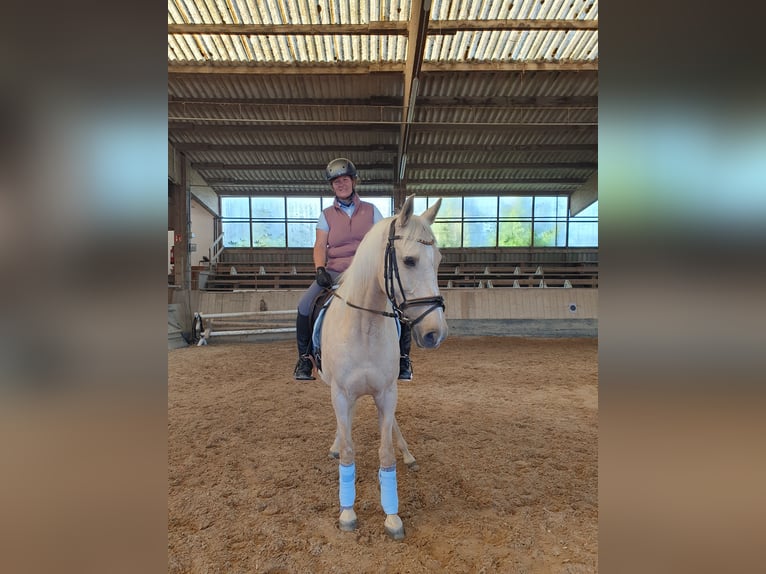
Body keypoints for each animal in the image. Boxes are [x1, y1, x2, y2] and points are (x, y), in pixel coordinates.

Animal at [318, 196, 450, 544]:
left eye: (439, 260)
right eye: (409, 260)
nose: (435, 333)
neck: (364, 327)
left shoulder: (387, 393)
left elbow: (386, 453)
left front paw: (392, 517)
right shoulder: (340, 394)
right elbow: (348, 451)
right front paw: (347, 513)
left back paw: (408, 454)